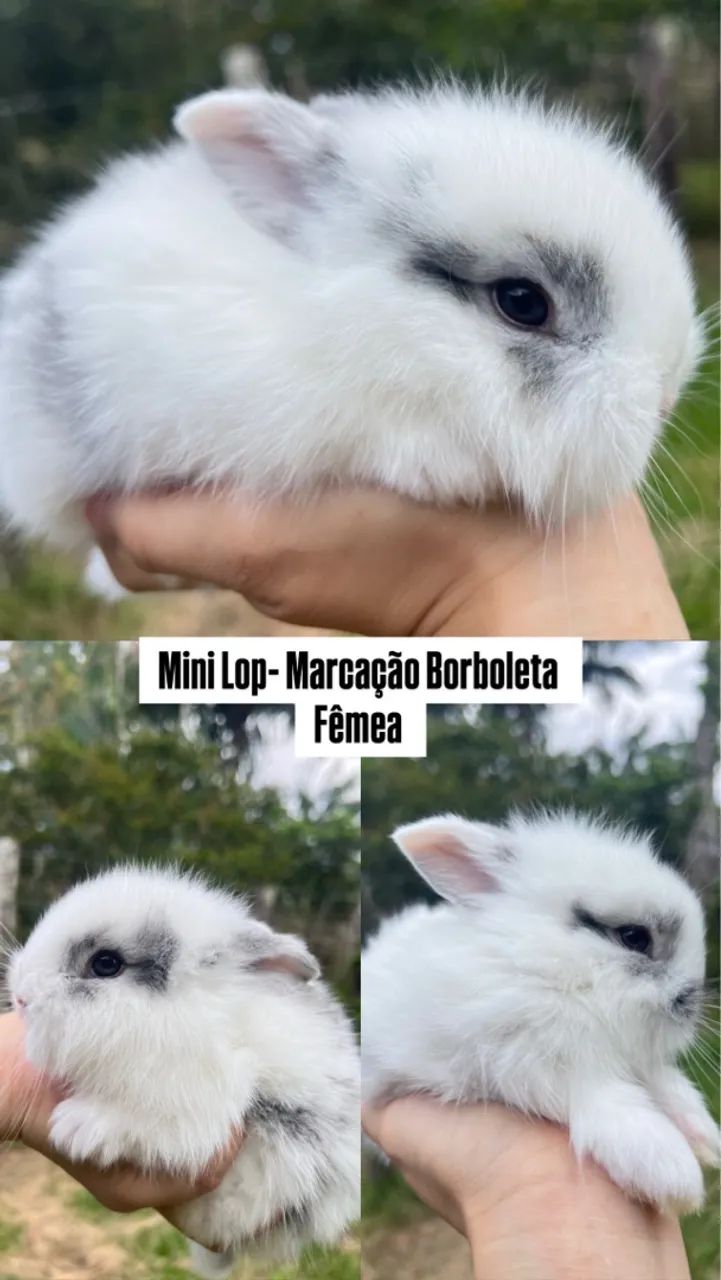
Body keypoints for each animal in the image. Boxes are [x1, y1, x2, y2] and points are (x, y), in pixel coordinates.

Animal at [361, 810, 720, 1213]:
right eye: (634, 937)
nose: (692, 1004)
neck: (545, 965)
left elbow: (666, 1084)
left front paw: (705, 1136)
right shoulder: (528, 1059)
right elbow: (600, 1096)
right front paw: (671, 1173)